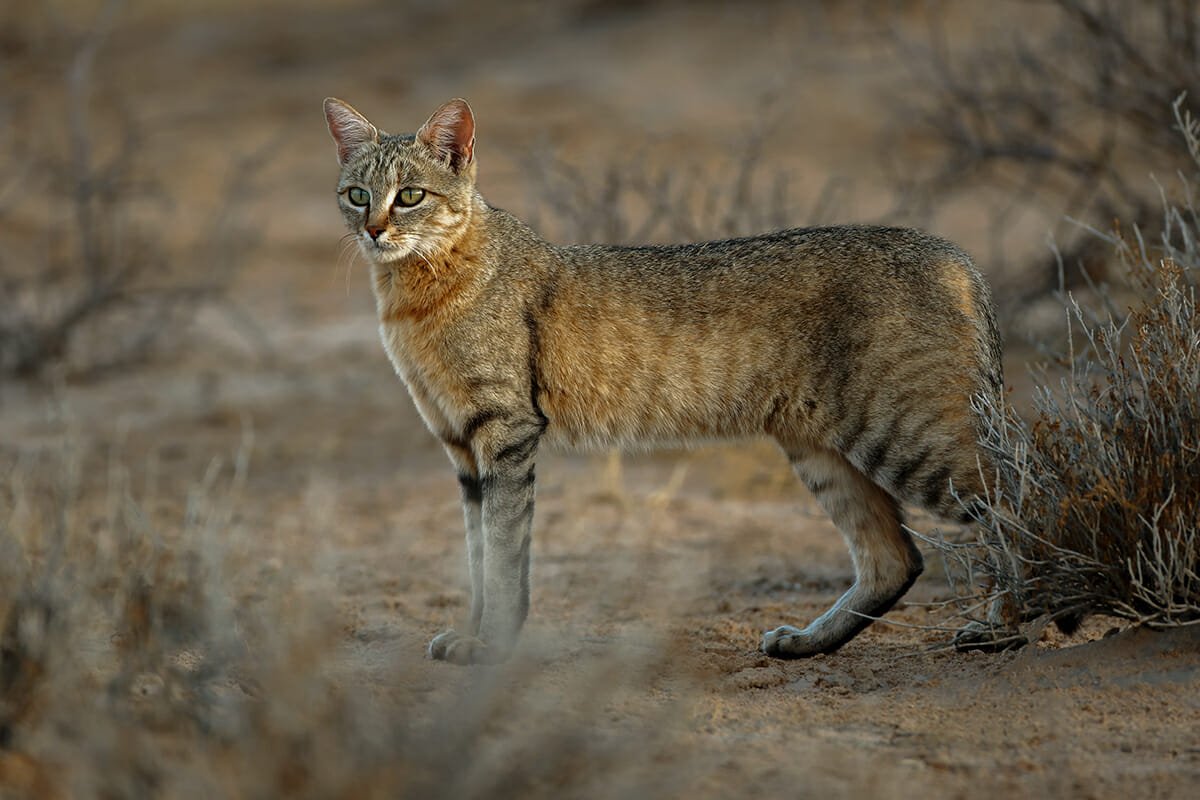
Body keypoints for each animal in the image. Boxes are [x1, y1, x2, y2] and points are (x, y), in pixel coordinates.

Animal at [326, 97, 1003, 666]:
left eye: (410, 195)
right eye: (357, 194)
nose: (374, 230)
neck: (412, 296)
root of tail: (954, 254)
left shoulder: (507, 431)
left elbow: (502, 552)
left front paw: (492, 643)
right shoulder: (461, 445)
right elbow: (475, 557)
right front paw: (473, 632)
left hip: (908, 437)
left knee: (1011, 498)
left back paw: (1002, 628)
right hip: (821, 448)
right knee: (896, 558)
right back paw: (809, 642)